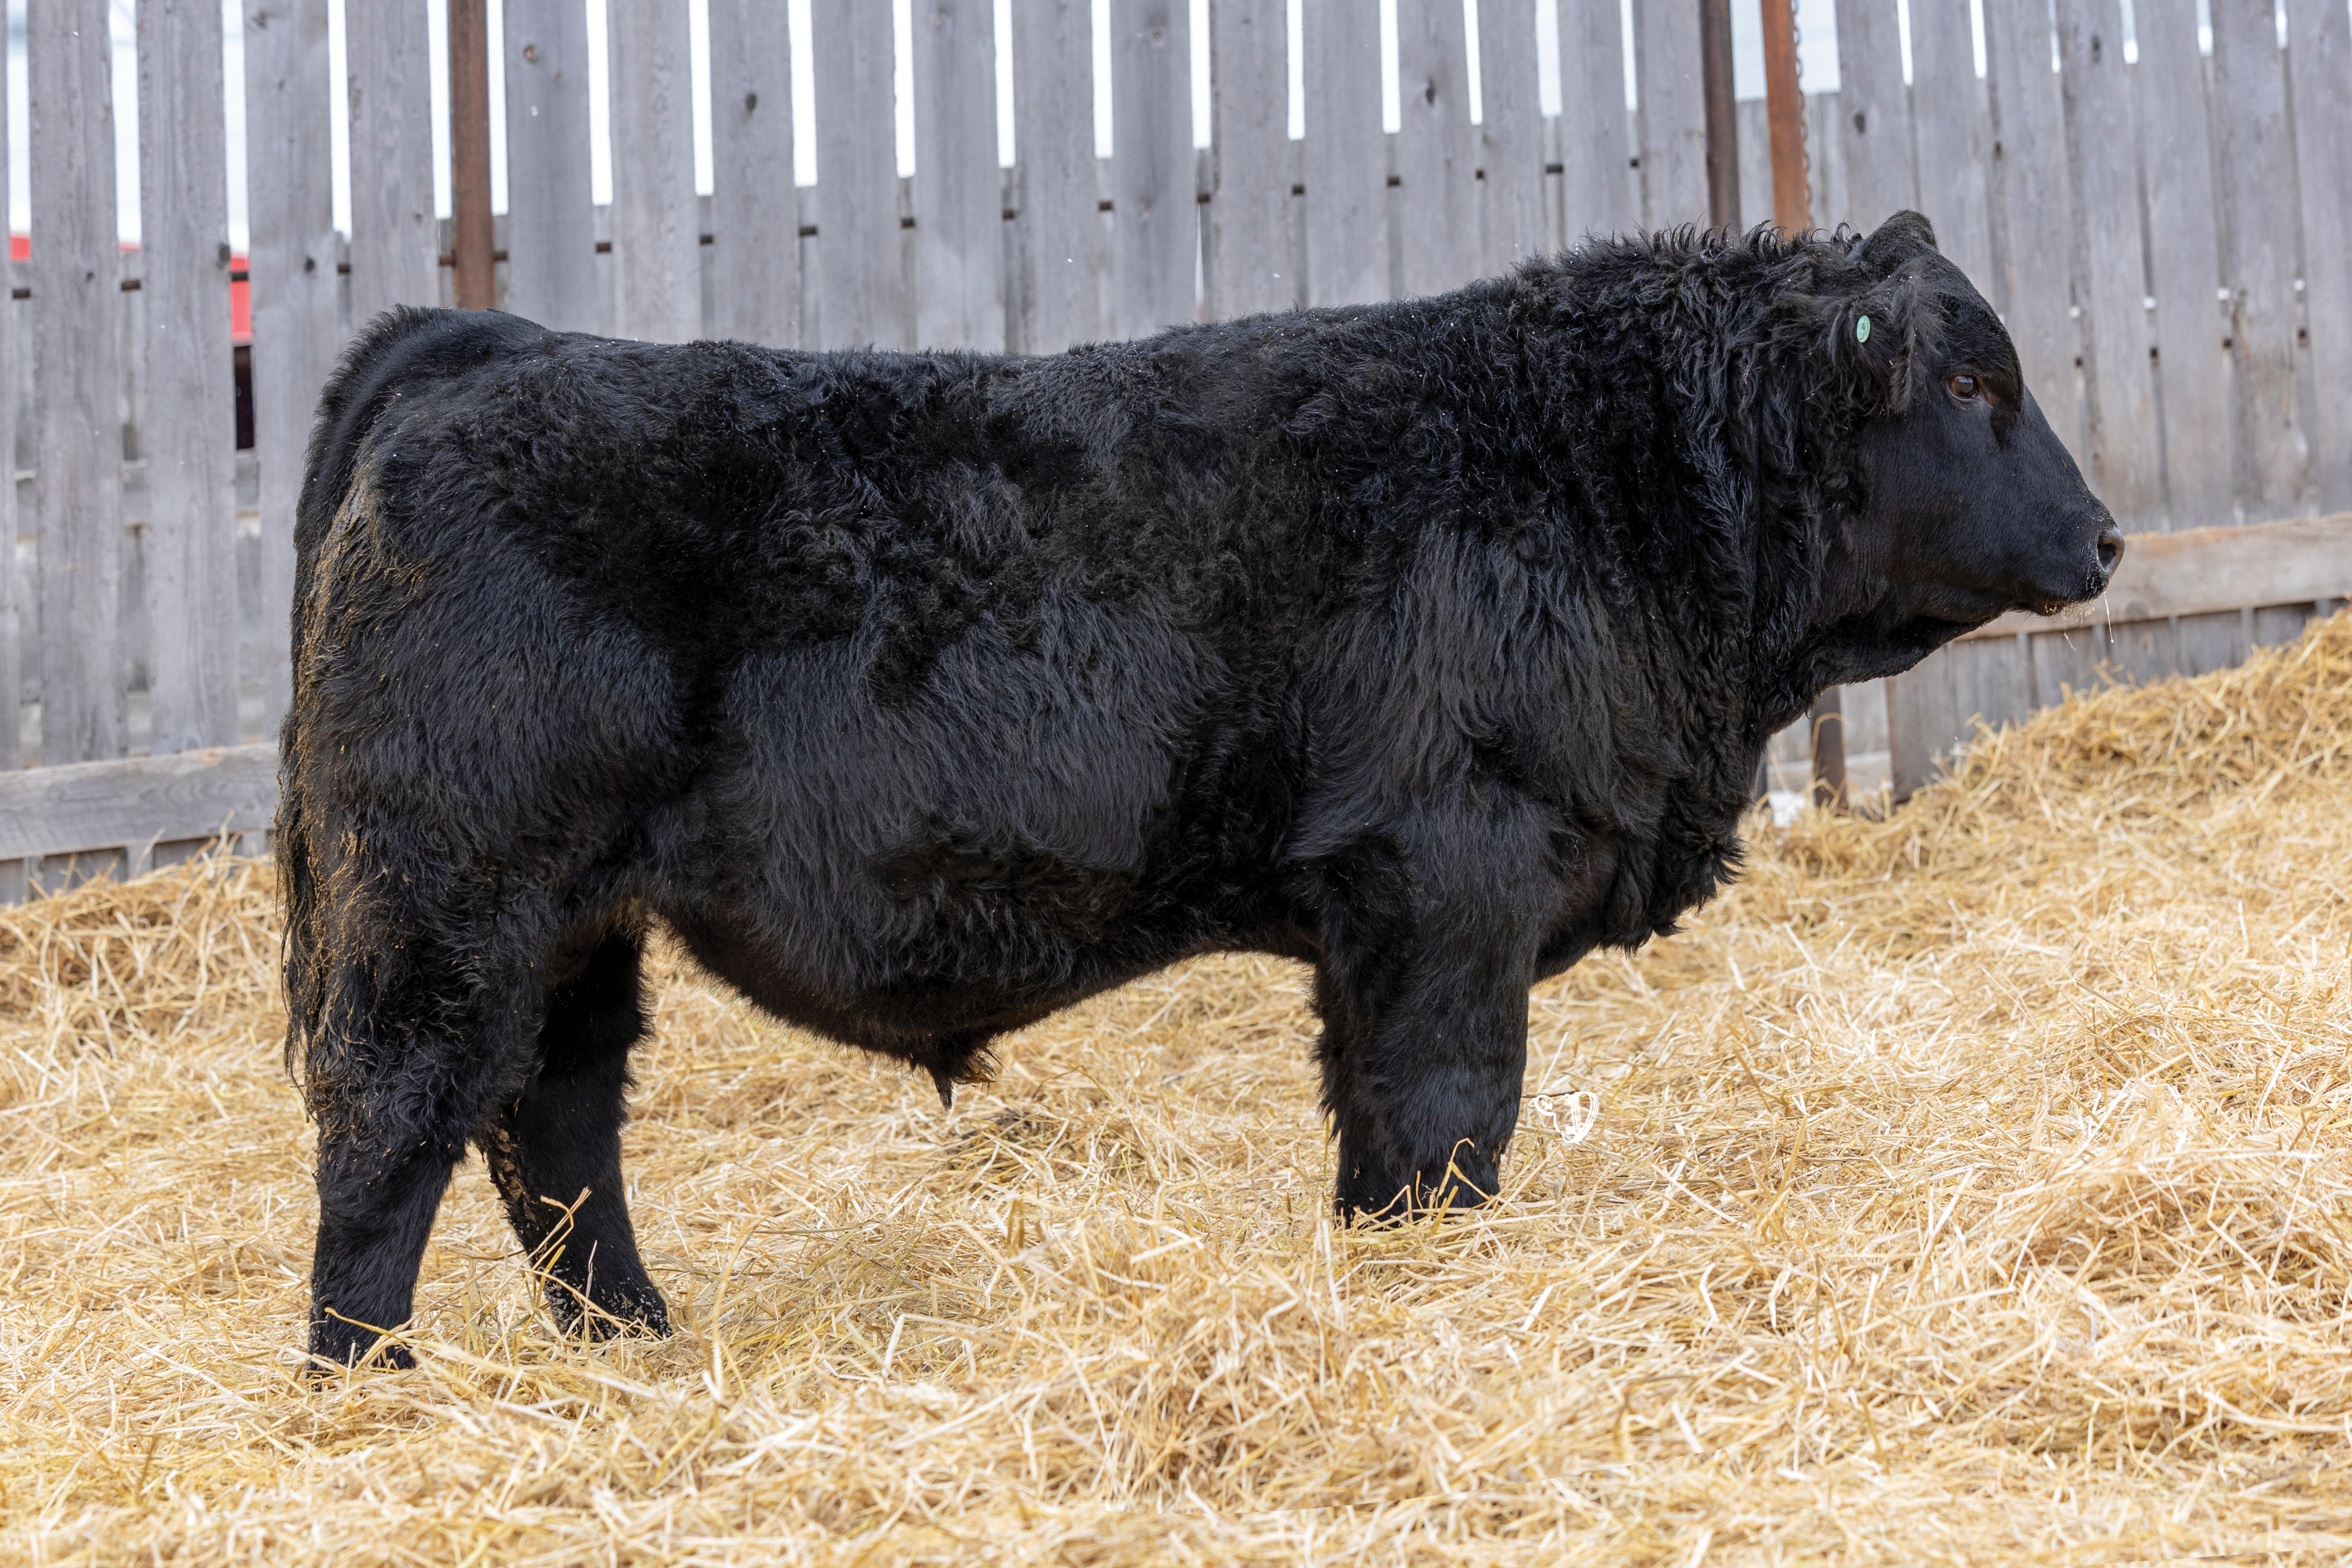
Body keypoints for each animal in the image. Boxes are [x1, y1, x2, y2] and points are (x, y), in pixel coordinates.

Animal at [281, 211, 2119, 1367]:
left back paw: (636, 1345)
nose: (2104, 538)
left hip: (577, 925)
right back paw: (365, 1381)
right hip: (454, 896)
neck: (1598, 474)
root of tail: (491, 347)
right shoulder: (1447, 880)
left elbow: (1379, 1137)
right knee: (396, 1123)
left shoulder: (1377, 928)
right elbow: (1451, 1119)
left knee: (554, 1128)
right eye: (1971, 383)